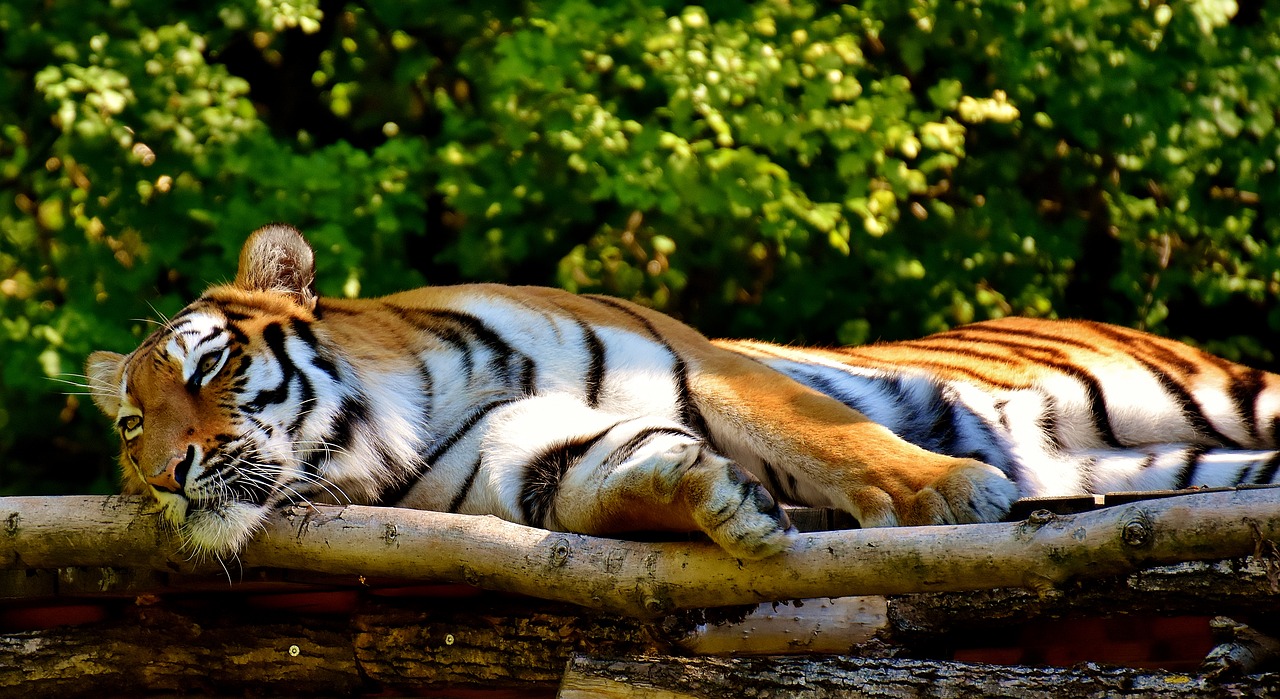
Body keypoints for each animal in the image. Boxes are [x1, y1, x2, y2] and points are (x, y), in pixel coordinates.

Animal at [85, 225, 1280, 558]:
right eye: (131, 426)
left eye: (209, 368)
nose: (167, 474)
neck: (391, 428)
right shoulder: (510, 463)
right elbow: (594, 476)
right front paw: (710, 501)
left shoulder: (708, 363)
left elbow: (829, 433)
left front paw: (947, 489)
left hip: (1223, 401)